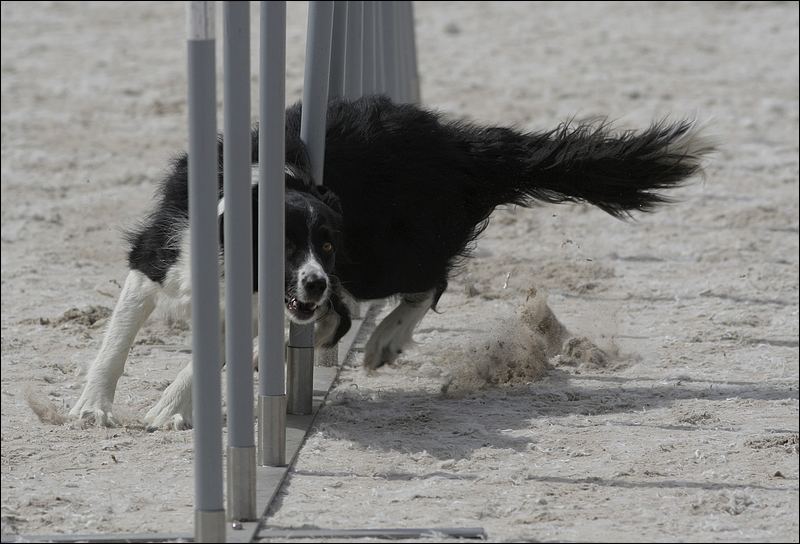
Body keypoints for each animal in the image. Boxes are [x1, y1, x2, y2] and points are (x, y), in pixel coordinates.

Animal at [70, 96, 712, 430]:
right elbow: (118, 333)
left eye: (326, 244)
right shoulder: (159, 255)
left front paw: (168, 408)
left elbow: (217, 353)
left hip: (389, 252)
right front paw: (92, 405)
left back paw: (385, 341)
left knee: (429, 282)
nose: (314, 281)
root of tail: (462, 147)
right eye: (285, 247)